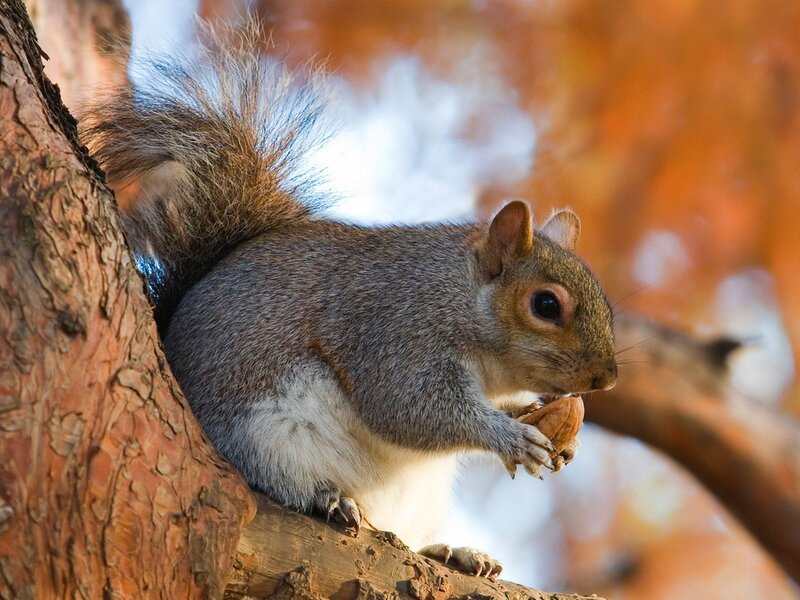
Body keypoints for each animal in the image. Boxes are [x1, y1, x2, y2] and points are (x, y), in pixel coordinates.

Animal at [82, 22, 617, 579]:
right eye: (547, 306)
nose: (606, 378)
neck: (458, 300)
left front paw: (545, 423)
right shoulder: (393, 329)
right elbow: (409, 407)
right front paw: (509, 437)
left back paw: (453, 552)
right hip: (263, 436)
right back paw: (328, 498)